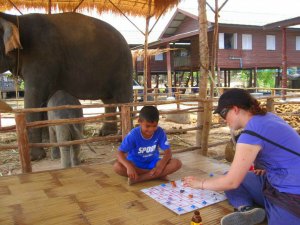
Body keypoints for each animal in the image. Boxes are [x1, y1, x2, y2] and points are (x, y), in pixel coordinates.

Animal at [0, 11, 132, 160]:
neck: (13, 18)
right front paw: (46, 142)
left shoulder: (41, 58)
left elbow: (33, 97)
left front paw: (35, 157)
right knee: (108, 100)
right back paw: (106, 134)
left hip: (123, 67)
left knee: (123, 99)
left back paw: (121, 138)